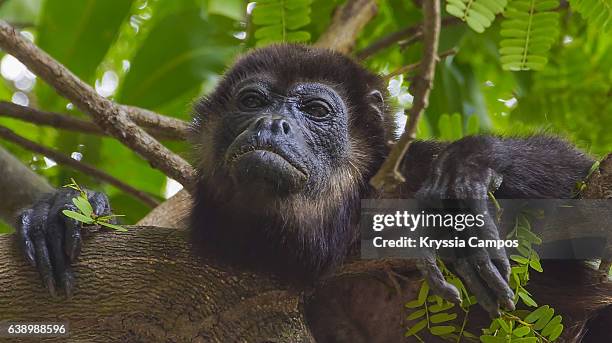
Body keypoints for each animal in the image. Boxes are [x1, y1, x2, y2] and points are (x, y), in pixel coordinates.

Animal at [15, 45, 612, 342]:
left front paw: (467, 173)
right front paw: (63, 212)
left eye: (316, 110)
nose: (271, 125)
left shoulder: (405, 171)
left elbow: (583, 187)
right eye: (253, 101)